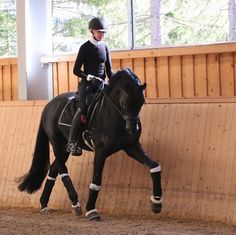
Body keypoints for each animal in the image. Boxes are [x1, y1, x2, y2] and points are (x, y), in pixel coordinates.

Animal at [17, 67, 162, 220]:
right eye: (124, 103)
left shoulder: (131, 147)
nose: (132, 129)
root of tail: (49, 105)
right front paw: (92, 210)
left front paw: (156, 203)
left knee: (53, 170)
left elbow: (155, 166)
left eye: (141, 102)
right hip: (57, 144)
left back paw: (44, 204)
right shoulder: (101, 151)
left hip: (65, 149)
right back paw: (75, 203)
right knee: (62, 170)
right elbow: (96, 181)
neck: (113, 114)